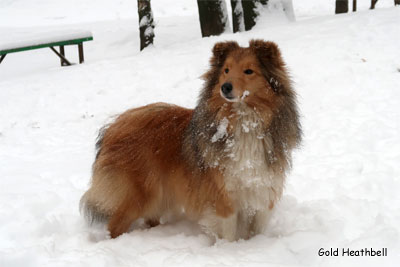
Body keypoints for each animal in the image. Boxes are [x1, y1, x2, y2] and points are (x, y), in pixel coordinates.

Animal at [79, 40, 302, 243]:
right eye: (226, 70)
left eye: (249, 71)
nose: (225, 87)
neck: (245, 123)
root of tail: (114, 126)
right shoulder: (223, 196)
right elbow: (229, 232)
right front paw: (230, 251)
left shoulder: (263, 190)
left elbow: (256, 230)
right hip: (140, 194)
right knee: (114, 226)